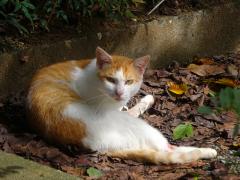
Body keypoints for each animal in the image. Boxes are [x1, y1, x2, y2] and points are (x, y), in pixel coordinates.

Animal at [26, 46, 218, 165]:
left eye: (129, 81)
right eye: (111, 80)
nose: (119, 93)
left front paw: (141, 100)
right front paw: (144, 101)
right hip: (139, 128)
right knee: (168, 149)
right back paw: (207, 151)